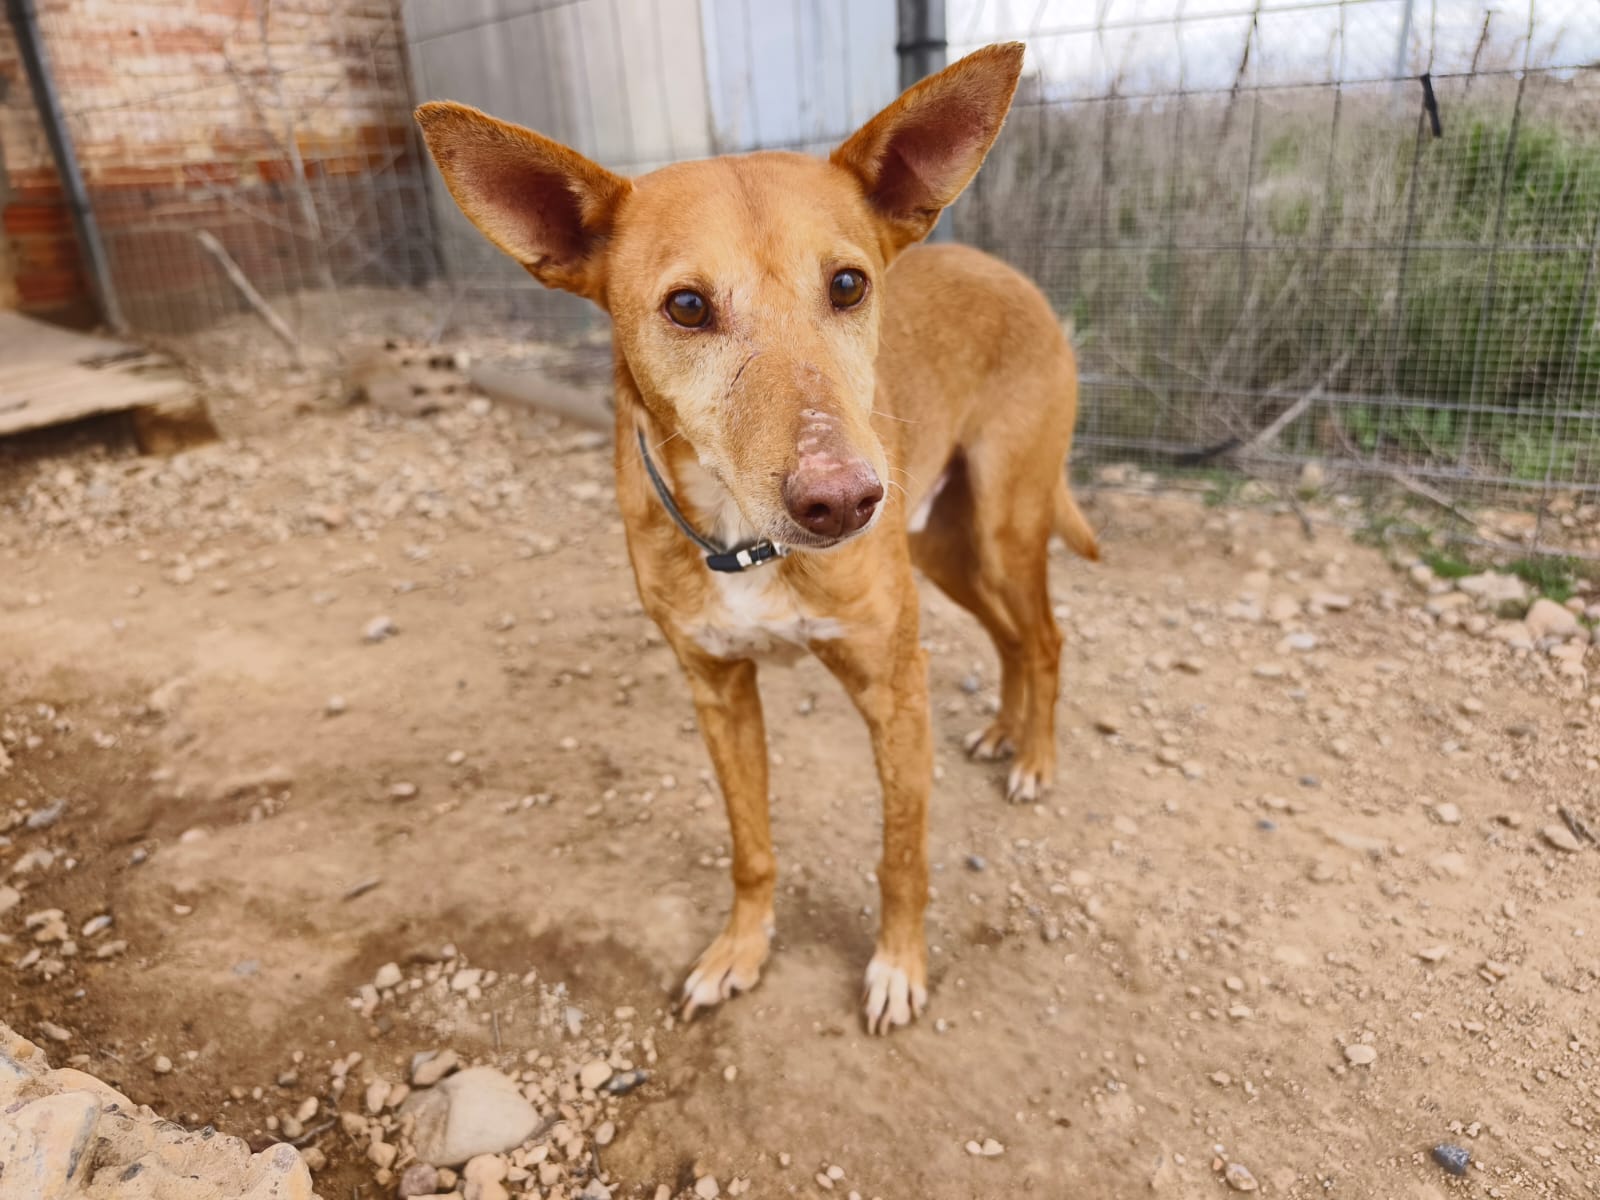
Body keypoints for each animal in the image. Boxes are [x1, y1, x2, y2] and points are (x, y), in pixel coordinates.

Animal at [416, 42, 1097, 1035]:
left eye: (848, 285)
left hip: (1007, 522)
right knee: (1012, 638)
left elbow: (901, 853)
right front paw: (741, 951)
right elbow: (751, 846)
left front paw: (898, 967)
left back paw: (1037, 760)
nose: (845, 502)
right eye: (687, 307)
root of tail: (1008, 270)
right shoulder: (717, 691)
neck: (744, 543)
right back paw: (1005, 733)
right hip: (946, 547)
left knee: (1044, 636)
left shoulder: (893, 685)